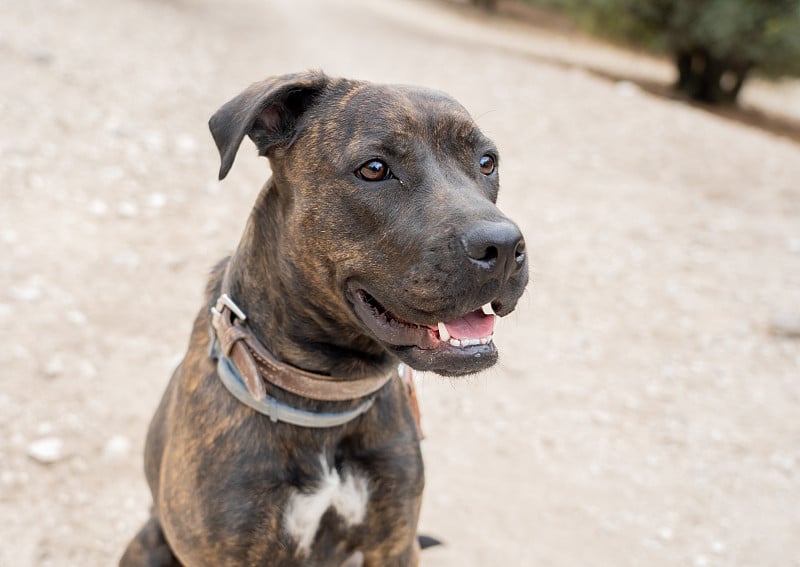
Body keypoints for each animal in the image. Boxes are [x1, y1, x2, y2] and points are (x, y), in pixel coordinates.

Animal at [119, 71, 528, 567]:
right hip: (147, 542)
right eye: (374, 169)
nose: (503, 246)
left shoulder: (396, 542)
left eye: (487, 163)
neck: (327, 397)